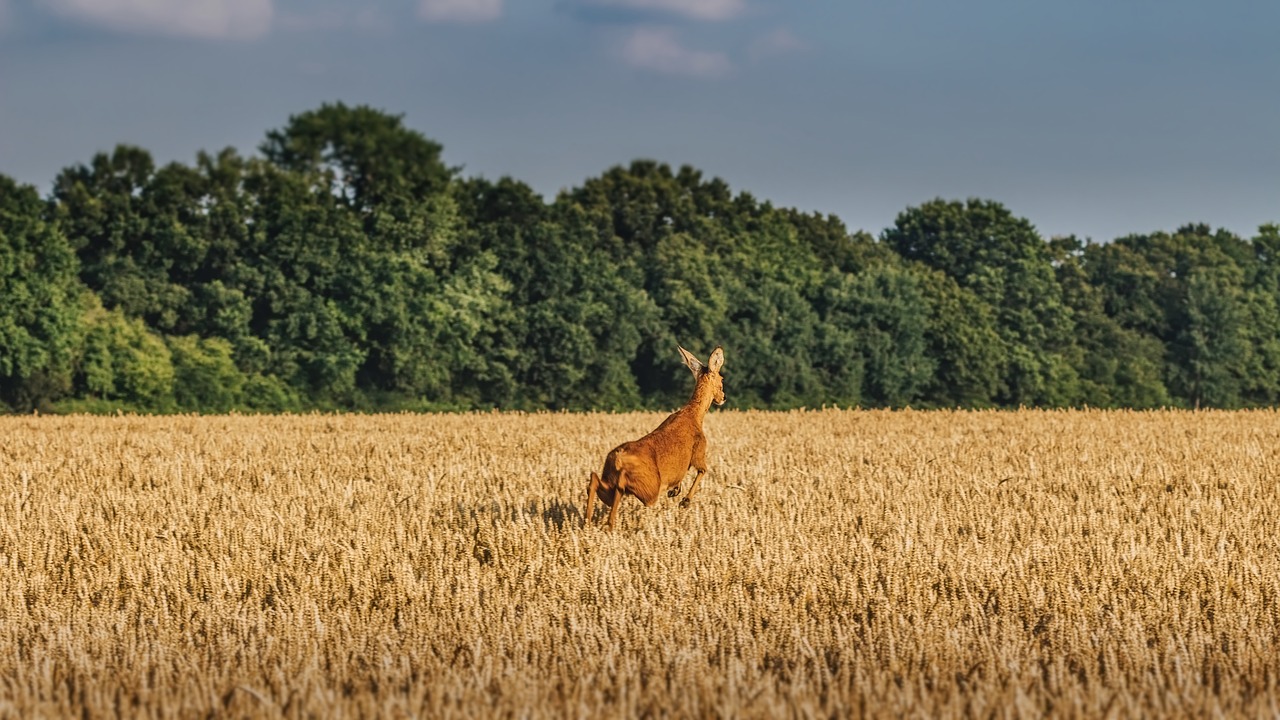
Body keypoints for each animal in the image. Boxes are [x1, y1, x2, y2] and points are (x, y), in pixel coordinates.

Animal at [586, 345, 727, 530]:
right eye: (721, 379)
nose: (723, 397)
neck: (695, 415)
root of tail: (618, 457)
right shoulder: (699, 450)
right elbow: (703, 470)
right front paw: (685, 501)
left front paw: (675, 490)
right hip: (650, 489)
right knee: (622, 488)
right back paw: (608, 523)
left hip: (612, 481)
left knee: (596, 481)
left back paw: (589, 521)